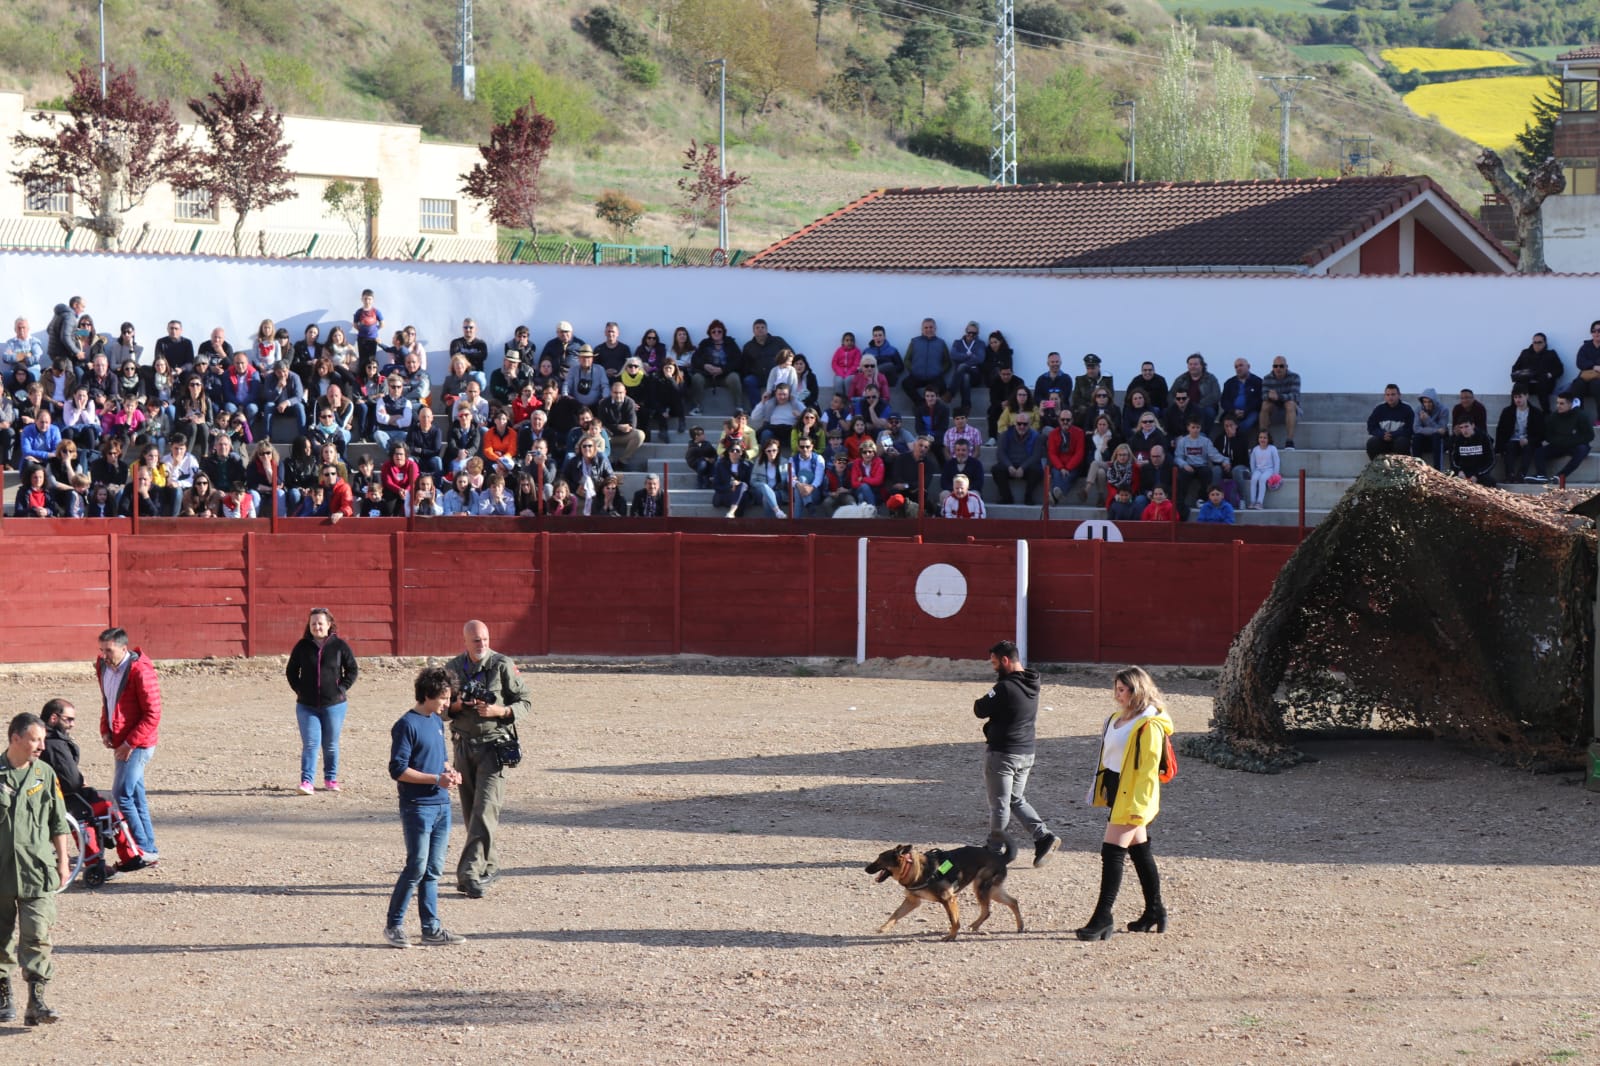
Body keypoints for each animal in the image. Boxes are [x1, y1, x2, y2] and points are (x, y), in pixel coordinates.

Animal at [864, 838, 1024, 941]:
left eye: (880, 859)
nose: (866, 869)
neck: (914, 868)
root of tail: (1001, 857)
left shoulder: (949, 899)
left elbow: (954, 920)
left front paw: (951, 936)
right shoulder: (912, 901)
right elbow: (895, 914)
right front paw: (884, 927)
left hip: (981, 887)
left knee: (989, 909)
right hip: (992, 891)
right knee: (1012, 902)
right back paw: (1019, 926)